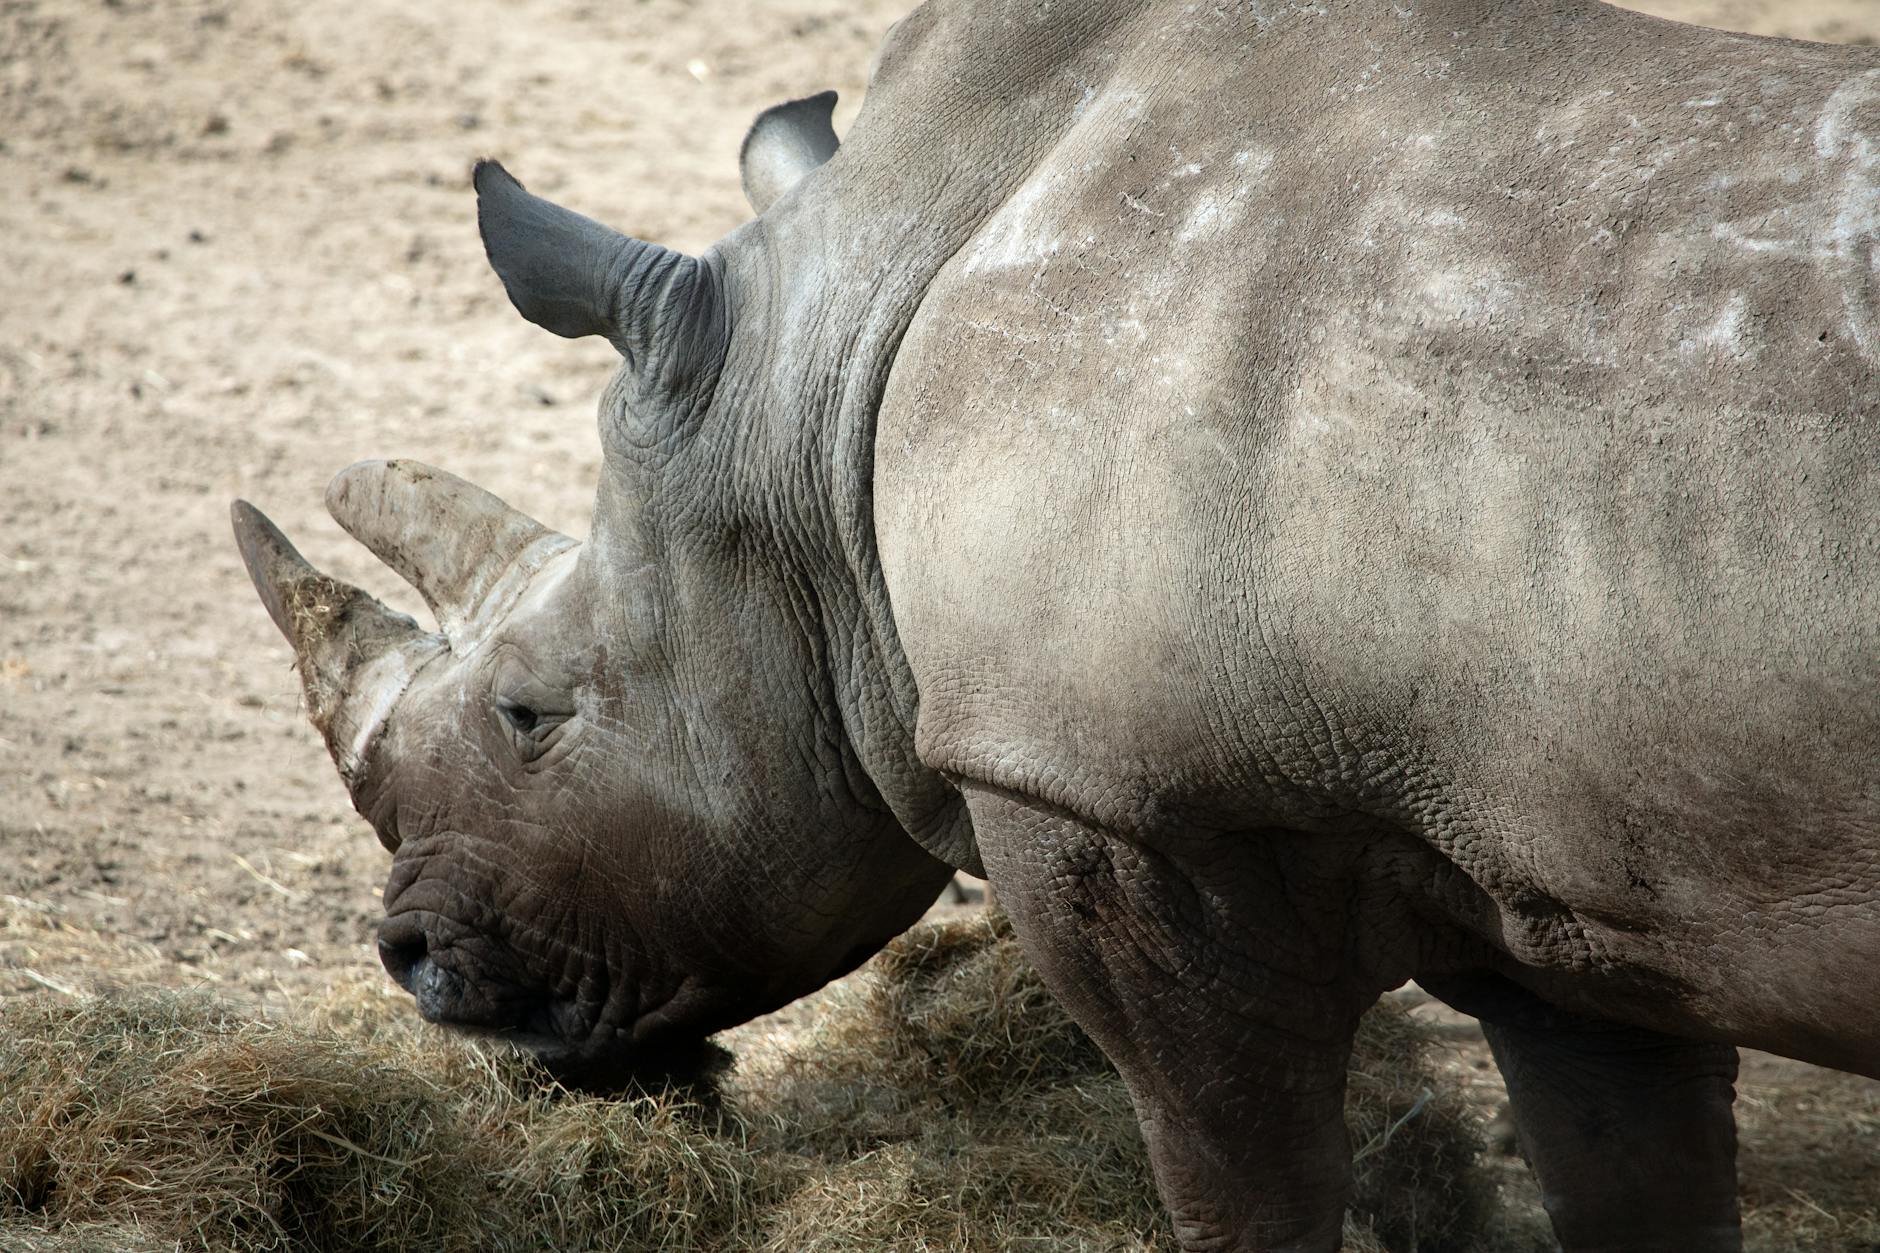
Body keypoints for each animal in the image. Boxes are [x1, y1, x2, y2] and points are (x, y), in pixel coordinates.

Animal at [231, 0, 1880, 1248]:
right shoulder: (1559, 856)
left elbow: (1243, 1185)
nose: (410, 957)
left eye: (534, 713)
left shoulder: (1115, 793)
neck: (822, 395)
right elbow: (1634, 1182)